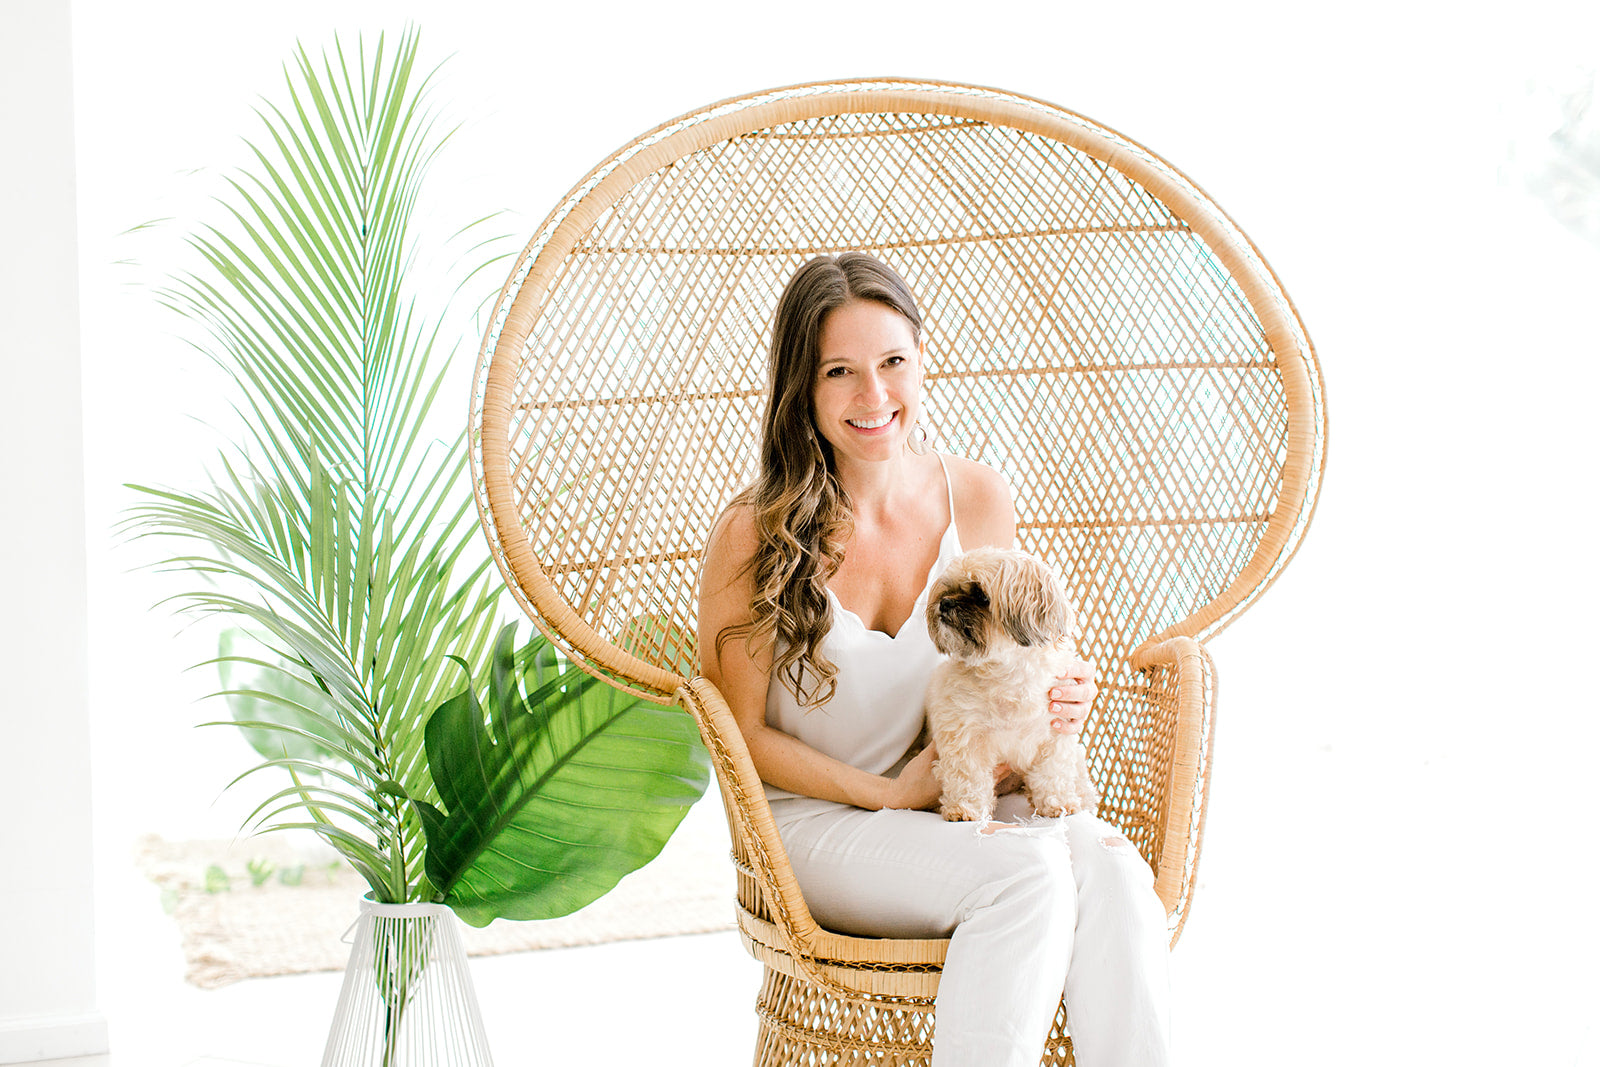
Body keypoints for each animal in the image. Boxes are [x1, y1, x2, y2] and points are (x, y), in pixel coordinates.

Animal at [928, 547, 1100, 825]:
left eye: (980, 594)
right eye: (948, 589)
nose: (945, 603)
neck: (1007, 676)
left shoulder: (1055, 733)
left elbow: (1052, 773)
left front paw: (1057, 803)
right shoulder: (964, 736)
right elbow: (968, 776)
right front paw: (965, 808)